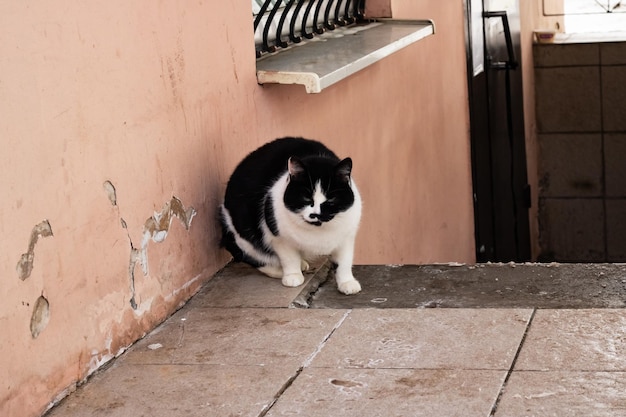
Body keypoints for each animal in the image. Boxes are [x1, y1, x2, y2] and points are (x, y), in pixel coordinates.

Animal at [221, 136, 360, 292]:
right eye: (306, 198)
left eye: (331, 199)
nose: (316, 214)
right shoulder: (280, 238)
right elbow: (289, 258)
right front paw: (292, 276)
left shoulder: (347, 237)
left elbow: (344, 261)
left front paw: (347, 282)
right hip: (241, 232)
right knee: (252, 255)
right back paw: (281, 270)